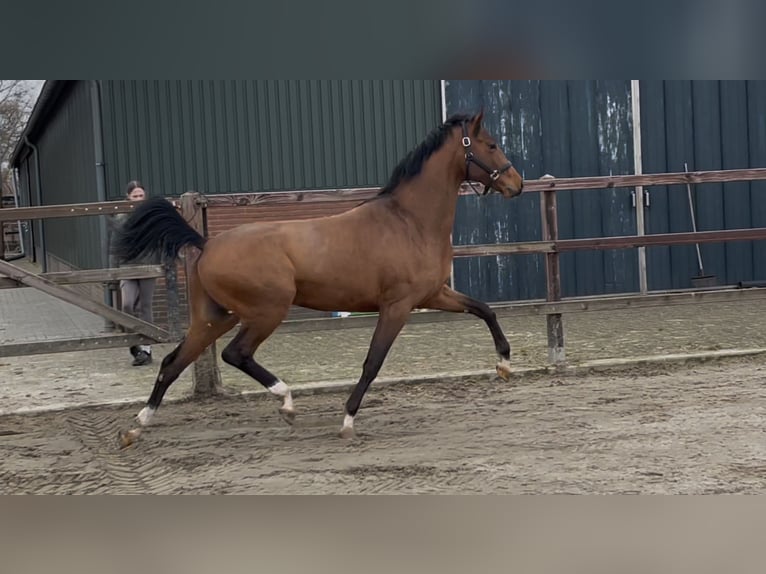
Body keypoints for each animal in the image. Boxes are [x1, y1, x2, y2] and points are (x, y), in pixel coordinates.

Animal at [112, 110, 520, 448]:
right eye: (491, 144)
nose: (516, 183)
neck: (409, 221)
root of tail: (206, 243)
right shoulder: (397, 306)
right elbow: (372, 362)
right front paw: (347, 421)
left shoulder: (434, 294)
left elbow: (484, 309)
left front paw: (504, 365)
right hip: (267, 311)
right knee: (235, 353)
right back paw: (286, 402)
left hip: (215, 316)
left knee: (173, 363)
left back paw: (135, 428)